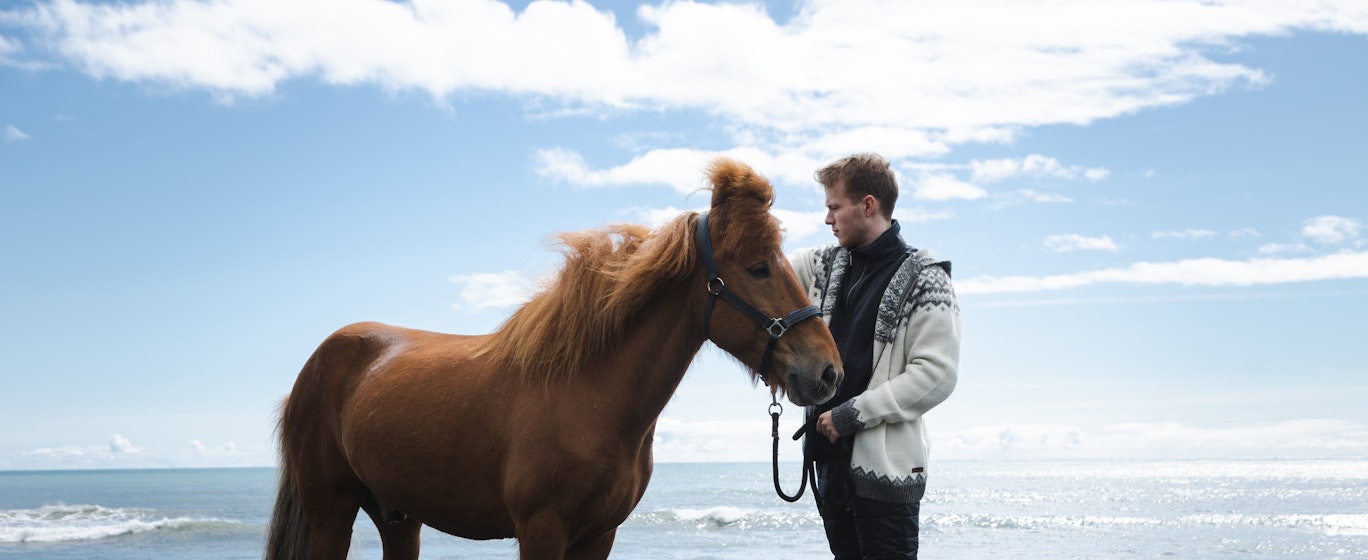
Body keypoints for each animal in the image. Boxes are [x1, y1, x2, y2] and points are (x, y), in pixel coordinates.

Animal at [265, 158, 844, 560]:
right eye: (758, 267)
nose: (828, 371)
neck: (587, 396)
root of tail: (321, 360)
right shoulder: (541, 532)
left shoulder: (599, 536)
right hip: (331, 513)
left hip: (399, 517)